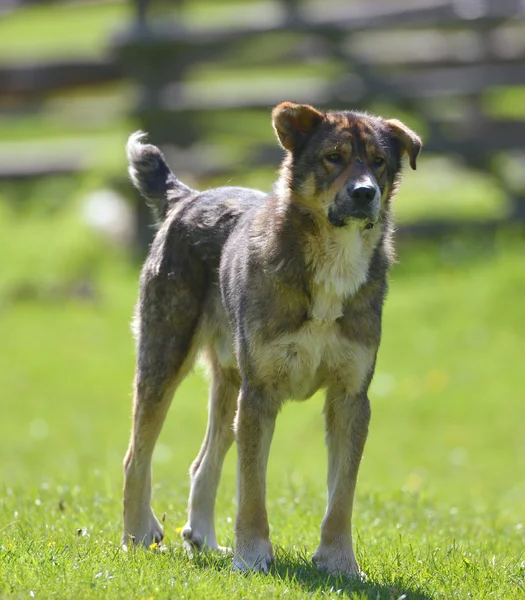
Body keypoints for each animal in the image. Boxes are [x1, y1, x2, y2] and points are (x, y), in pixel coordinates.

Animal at [121, 102, 420, 576]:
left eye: (378, 162)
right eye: (333, 157)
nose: (364, 193)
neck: (332, 264)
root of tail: (187, 198)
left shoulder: (350, 398)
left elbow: (342, 495)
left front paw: (339, 562)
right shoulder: (260, 394)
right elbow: (252, 490)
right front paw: (252, 557)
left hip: (229, 384)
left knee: (203, 462)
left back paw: (203, 539)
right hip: (164, 361)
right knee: (137, 455)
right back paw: (137, 534)